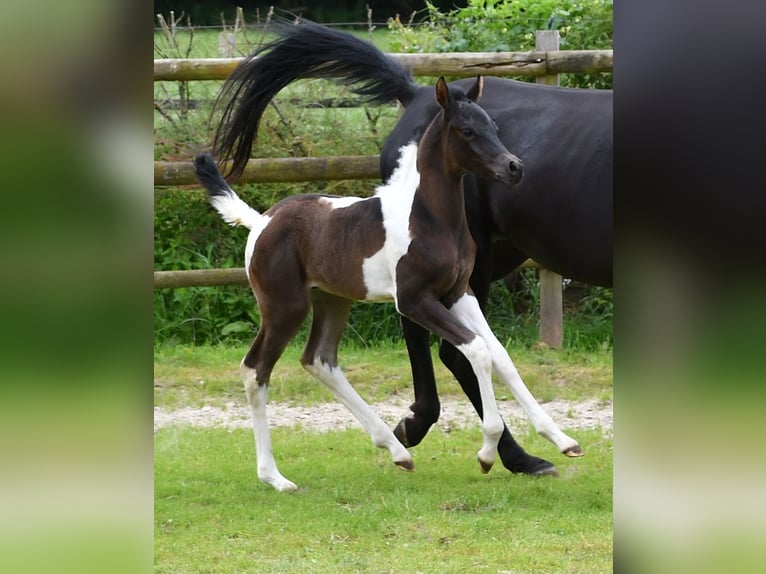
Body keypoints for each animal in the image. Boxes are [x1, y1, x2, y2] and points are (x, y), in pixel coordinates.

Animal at [212, 21, 612, 476]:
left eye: (495, 127)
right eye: (467, 131)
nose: (515, 167)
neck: (427, 217)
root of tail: (261, 221)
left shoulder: (457, 292)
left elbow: (497, 354)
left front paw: (561, 439)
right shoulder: (415, 298)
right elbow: (476, 351)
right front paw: (488, 450)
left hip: (333, 300)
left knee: (319, 359)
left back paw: (396, 446)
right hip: (286, 307)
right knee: (256, 370)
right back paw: (276, 476)